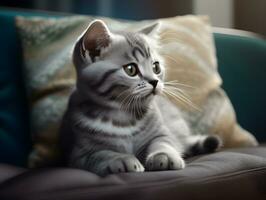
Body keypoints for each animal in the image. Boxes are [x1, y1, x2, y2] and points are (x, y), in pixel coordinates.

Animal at [59, 19, 220, 177]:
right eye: (131, 69)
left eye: (156, 67)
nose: (155, 81)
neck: (123, 117)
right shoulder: (78, 154)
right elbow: (100, 154)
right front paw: (121, 159)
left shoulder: (162, 133)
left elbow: (163, 142)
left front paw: (163, 155)